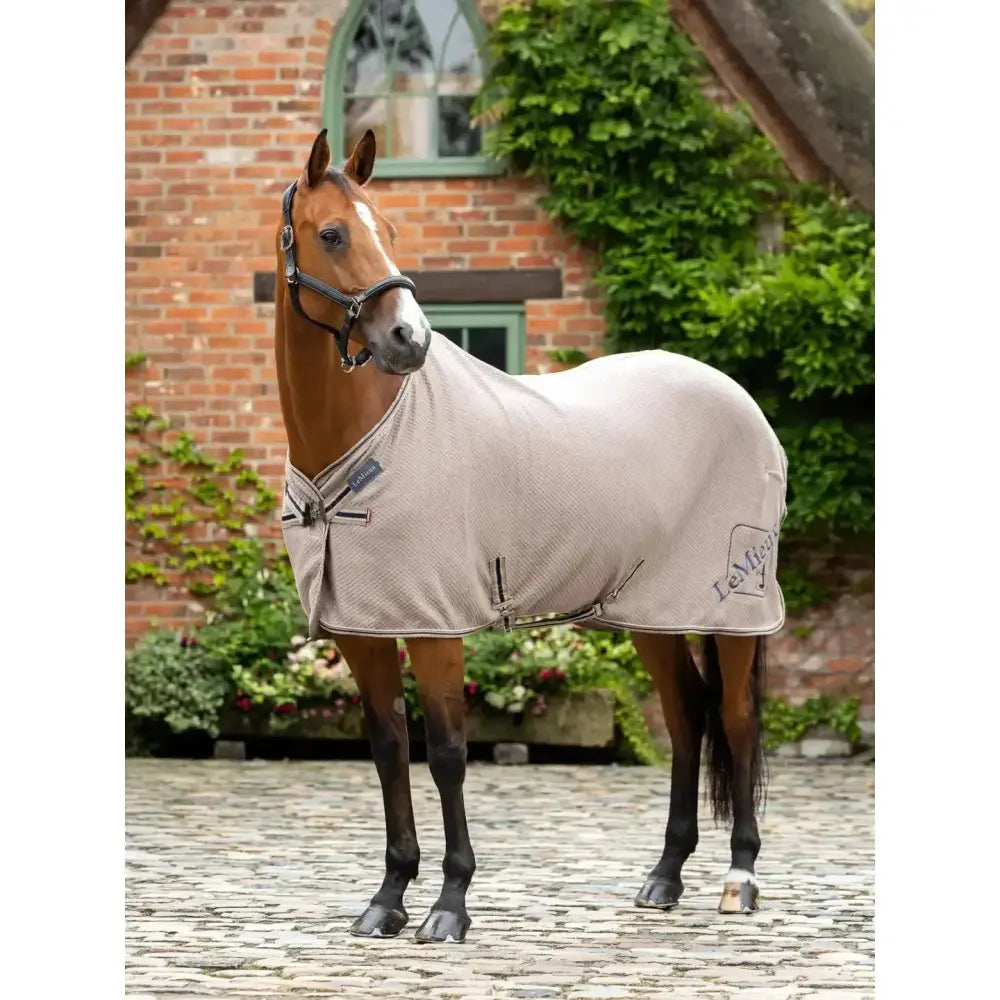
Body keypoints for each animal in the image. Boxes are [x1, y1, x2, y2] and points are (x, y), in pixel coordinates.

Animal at [273, 129, 786, 944]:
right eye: (331, 234)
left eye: (389, 231)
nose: (408, 339)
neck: (367, 437)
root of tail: (736, 395)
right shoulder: (362, 627)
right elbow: (388, 750)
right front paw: (387, 899)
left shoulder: (437, 624)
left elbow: (448, 754)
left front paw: (449, 906)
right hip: (650, 613)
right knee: (686, 718)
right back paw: (665, 877)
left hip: (732, 609)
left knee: (733, 718)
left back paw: (739, 878)